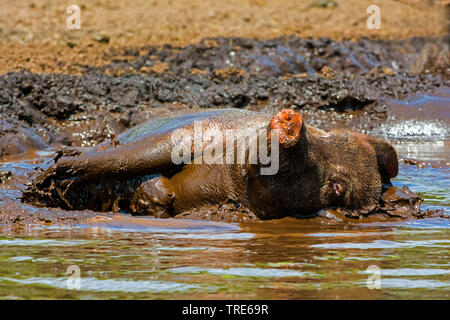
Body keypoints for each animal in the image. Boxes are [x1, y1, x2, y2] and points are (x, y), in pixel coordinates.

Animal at [22, 109, 400, 219]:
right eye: (331, 137)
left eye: (337, 189)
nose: (292, 122)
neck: (228, 178)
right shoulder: (196, 132)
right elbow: (140, 155)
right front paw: (54, 175)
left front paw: (151, 197)